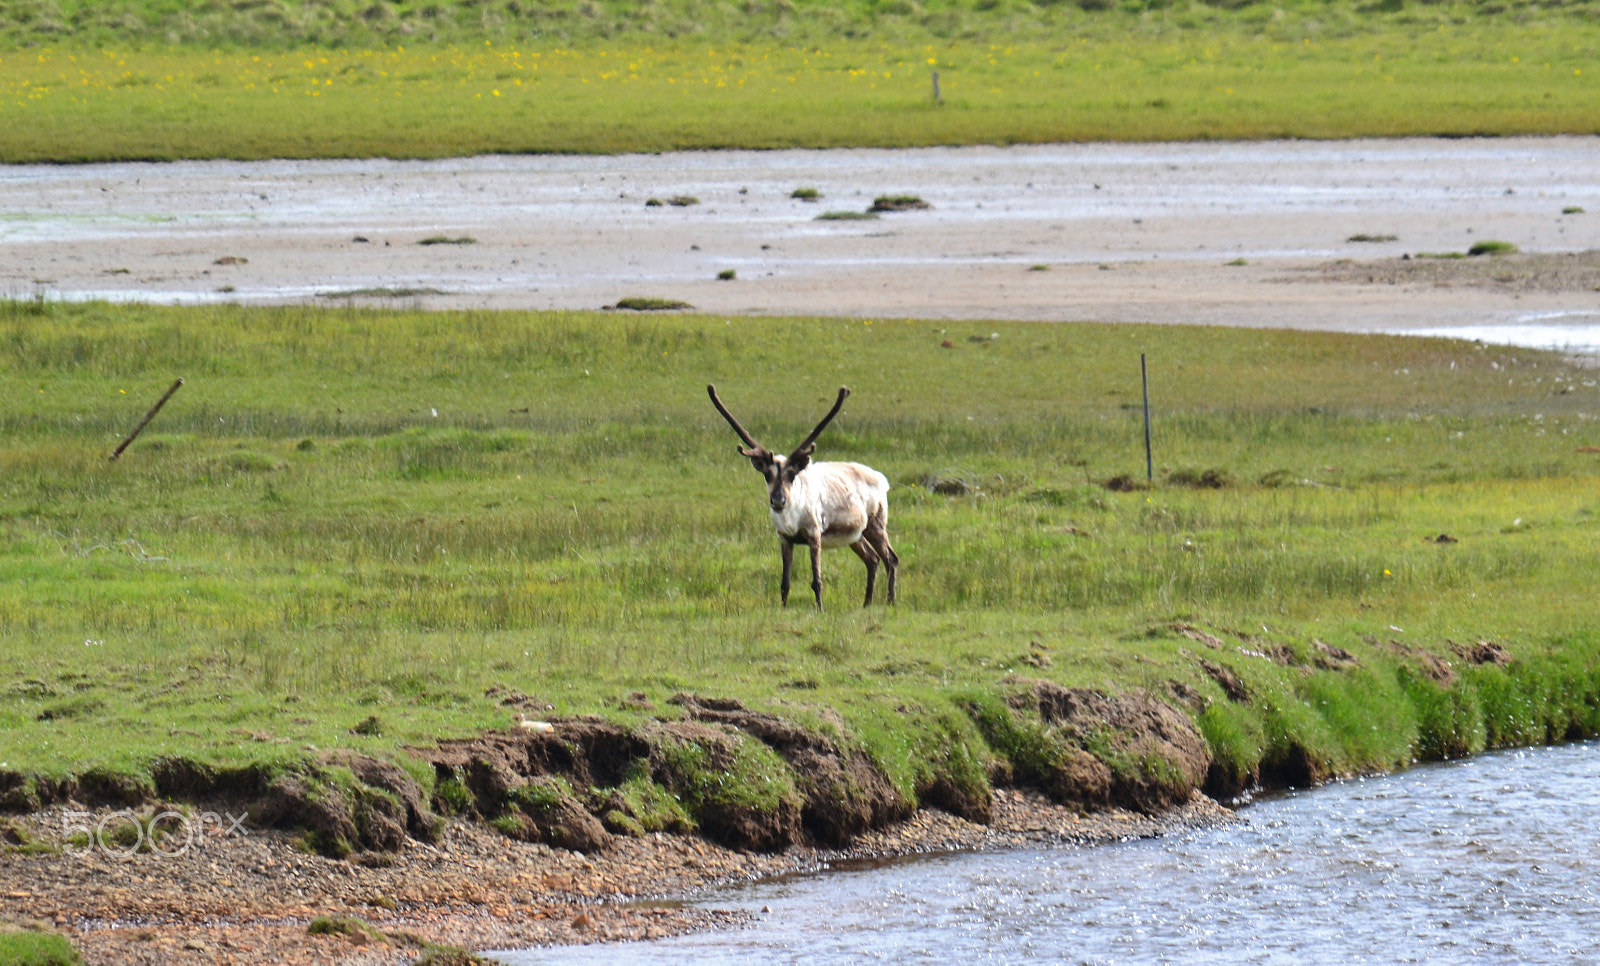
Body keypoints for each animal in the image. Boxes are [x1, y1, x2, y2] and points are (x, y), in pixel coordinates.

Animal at [707, 384, 898, 610]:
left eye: (792, 474)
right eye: (767, 474)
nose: (778, 500)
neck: (792, 519)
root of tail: (881, 479)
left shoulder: (814, 533)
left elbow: (816, 580)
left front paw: (820, 609)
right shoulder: (784, 538)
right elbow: (785, 582)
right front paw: (783, 608)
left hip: (876, 523)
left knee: (891, 558)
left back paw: (890, 601)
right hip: (856, 534)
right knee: (872, 559)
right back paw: (866, 603)